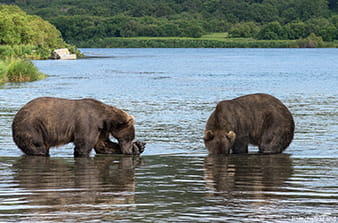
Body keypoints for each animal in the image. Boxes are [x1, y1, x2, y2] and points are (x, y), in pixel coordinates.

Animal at [12, 97, 145, 157]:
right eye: (129, 137)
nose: (128, 150)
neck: (105, 118)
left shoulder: (102, 129)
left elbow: (103, 145)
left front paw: (139, 147)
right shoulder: (89, 123)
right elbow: (84, 145)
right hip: (32, 127)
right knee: (38, 147)